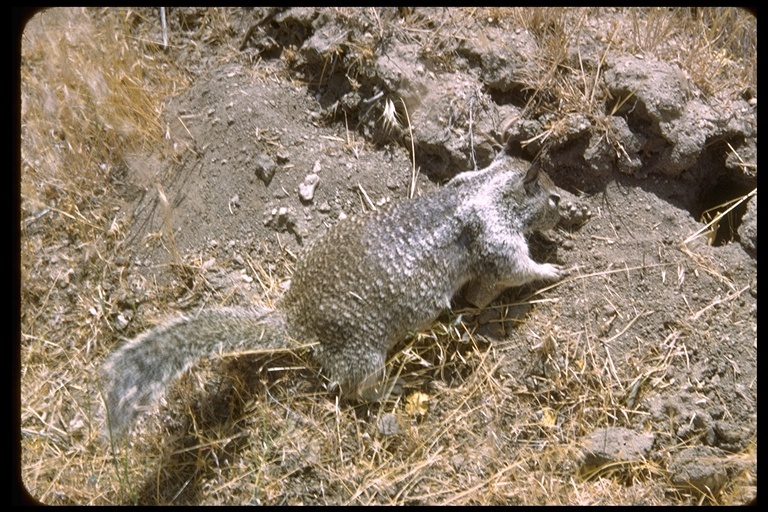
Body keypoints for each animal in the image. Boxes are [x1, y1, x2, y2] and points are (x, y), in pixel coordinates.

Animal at [102, 152, 564, 432]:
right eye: (555, 197)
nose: (571, 210)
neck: (485, 188)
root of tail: (294, 317)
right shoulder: (496, 238)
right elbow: (511, 270)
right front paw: (550, 269)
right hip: (363, 353)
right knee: (352, 388)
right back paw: (389, 388)